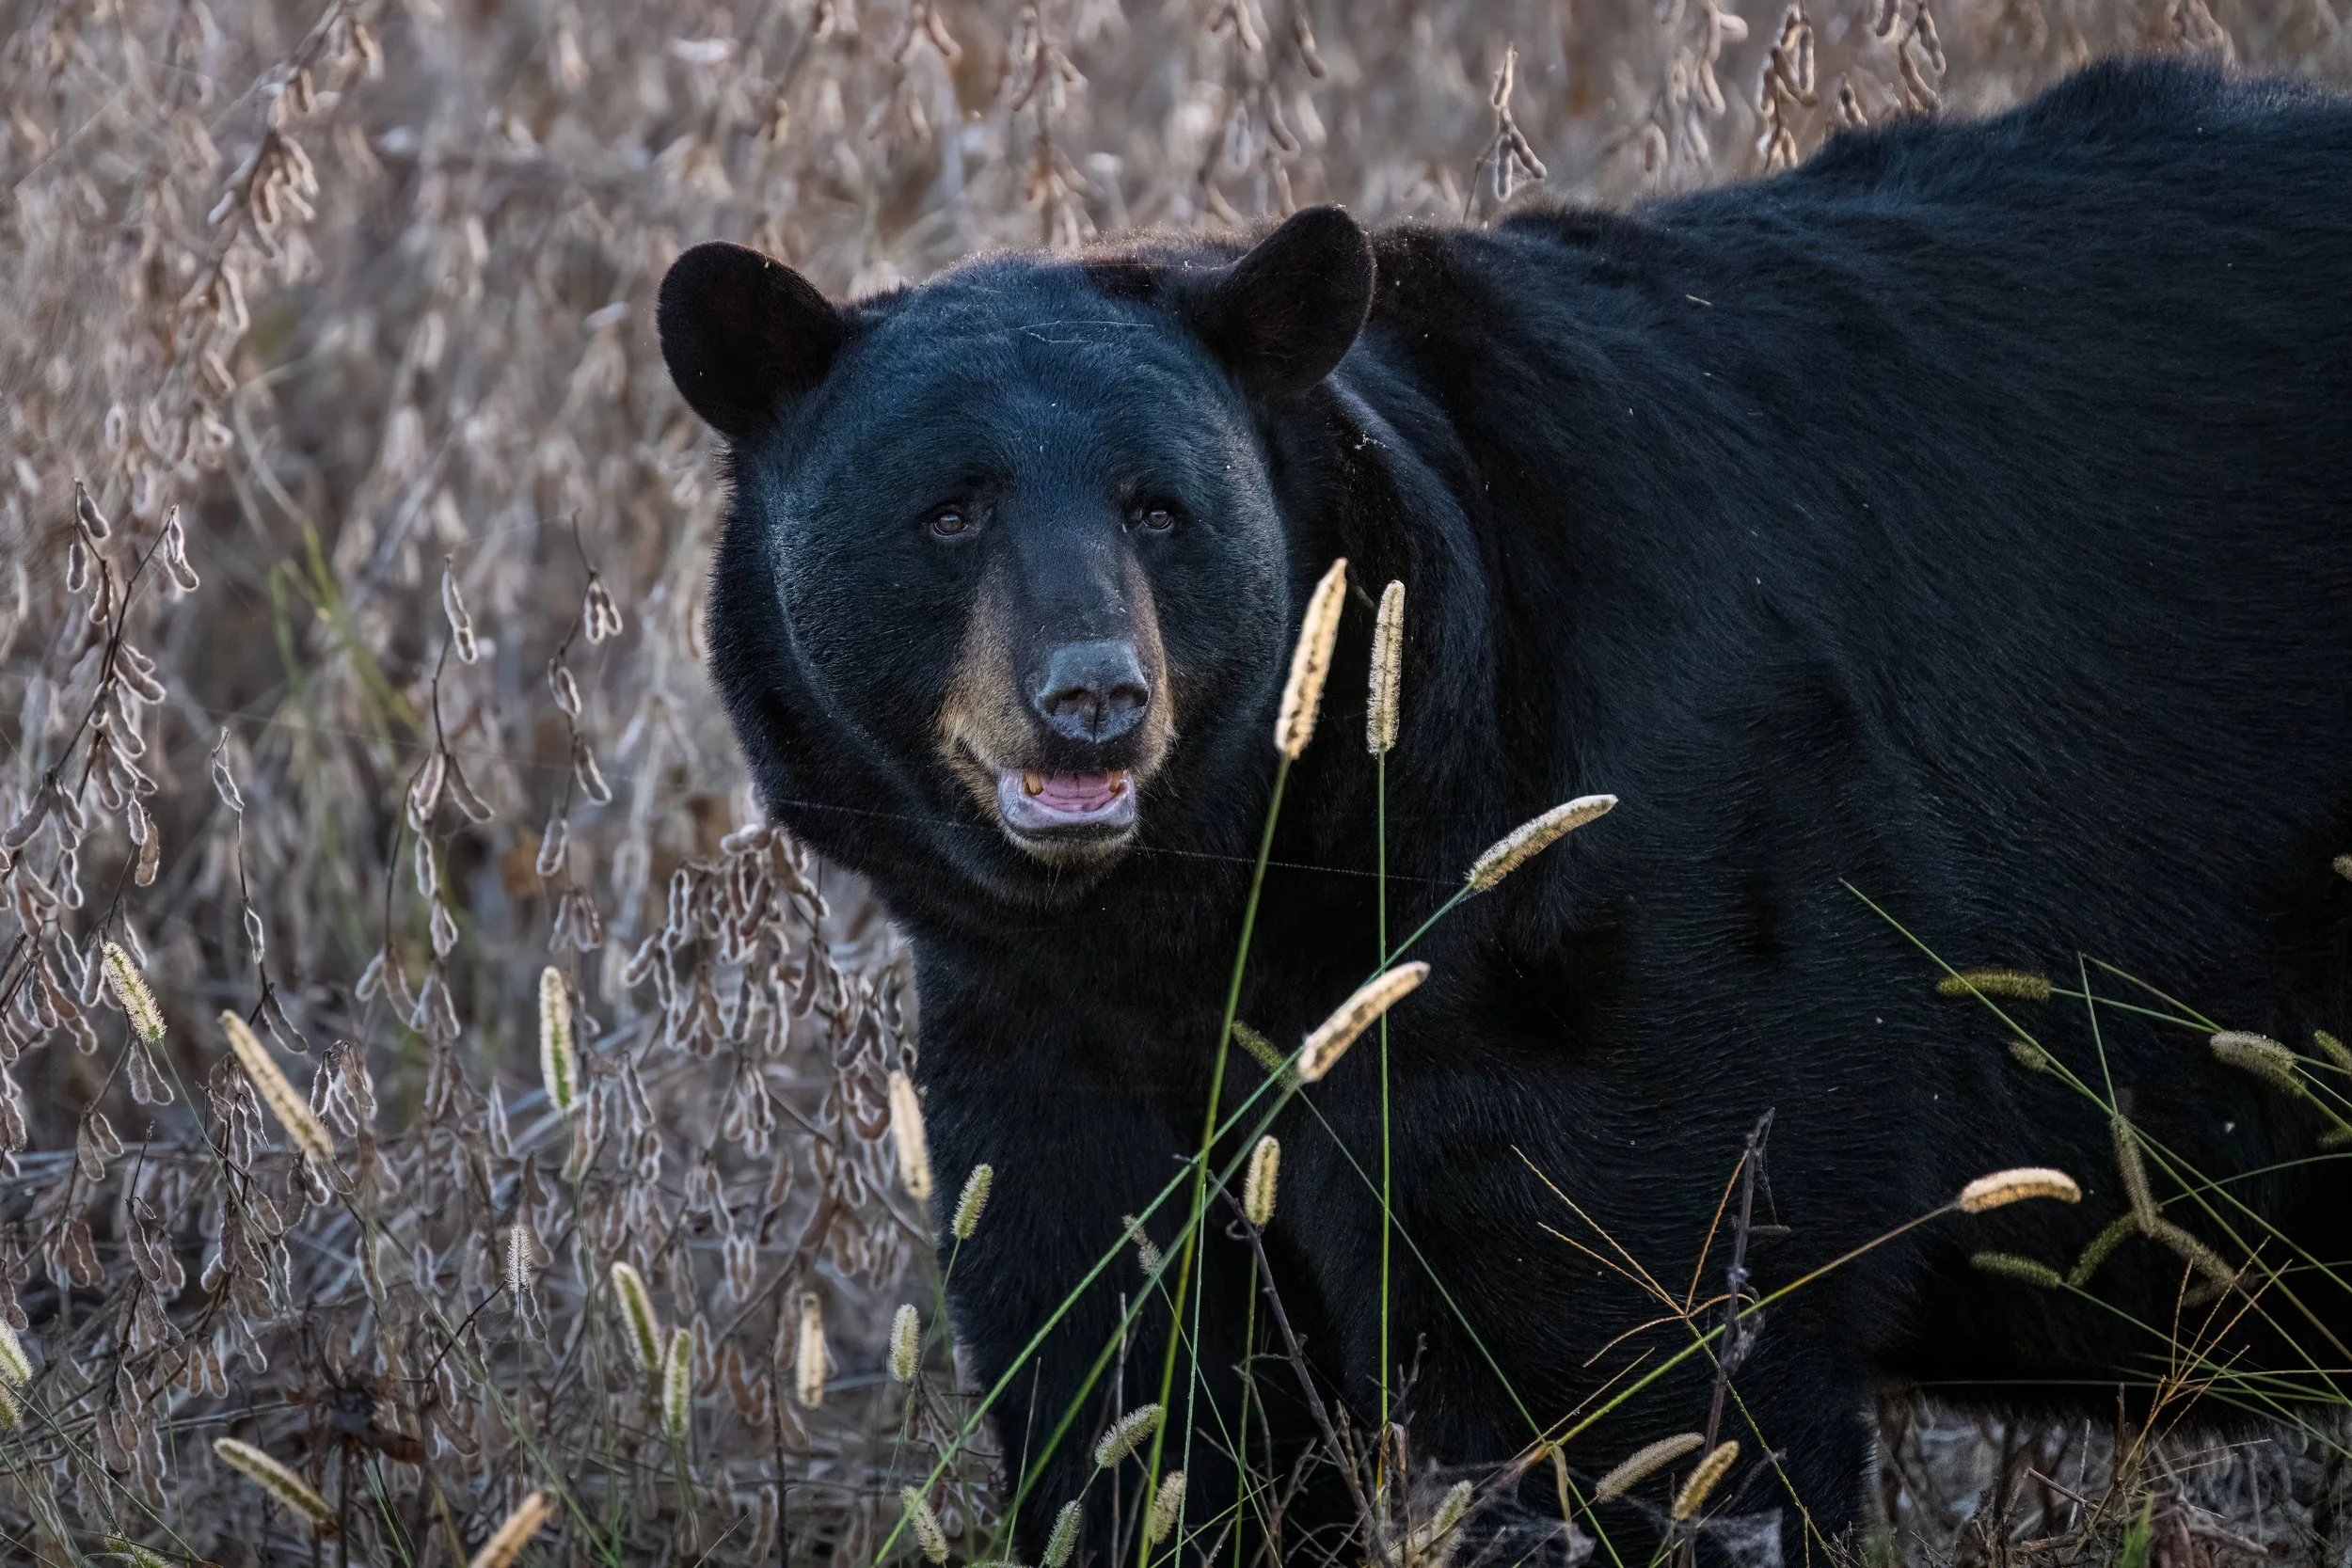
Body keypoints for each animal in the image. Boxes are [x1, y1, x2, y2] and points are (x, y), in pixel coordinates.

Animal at [659, 58, 2352, 1566]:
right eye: (948, 510)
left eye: (1160, 506)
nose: (1092, 697)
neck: (1237, 897)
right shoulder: (1055, 1042)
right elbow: (1141, 1392)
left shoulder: (1639, 923)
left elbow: (1628, 1371)